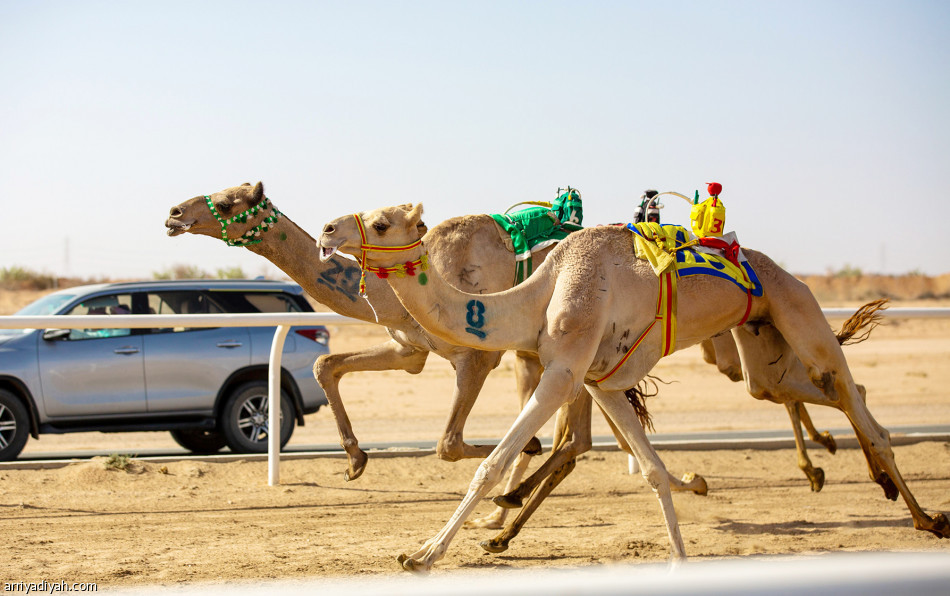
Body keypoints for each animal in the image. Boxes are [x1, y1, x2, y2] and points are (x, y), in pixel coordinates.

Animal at [322, 205, 950, 572]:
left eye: (382, 223)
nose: (328, 227)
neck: (538, 292)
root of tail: (779, 270)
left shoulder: (564, 372)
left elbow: (492, 464)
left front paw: (423, 554)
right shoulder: (599, 378)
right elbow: (649, 469)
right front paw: (680, 553)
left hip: (798, 310)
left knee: (846, 388)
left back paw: (924, 516)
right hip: (762, 344)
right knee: (823, 390)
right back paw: (893, 496)